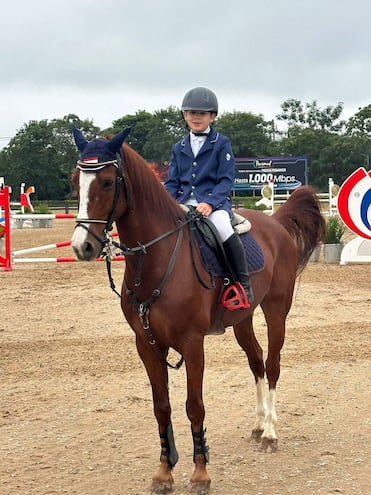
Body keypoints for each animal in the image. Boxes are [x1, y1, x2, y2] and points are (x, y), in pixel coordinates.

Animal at [70, 129, 326, 495]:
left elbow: (195, 407)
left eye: (106, 182)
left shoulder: (192, 345)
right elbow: (161, 408)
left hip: (277, 310)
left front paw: (200, 474)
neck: (157, 258)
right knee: (257, 362)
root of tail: (274, 222)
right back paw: (258, 425)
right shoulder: (147, 345)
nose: (82, 247)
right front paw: (164, 473)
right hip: (242, 320)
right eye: (76, 181)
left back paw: (271, 432)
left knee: (273, 364)